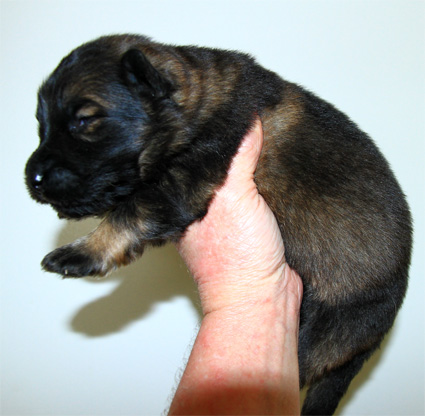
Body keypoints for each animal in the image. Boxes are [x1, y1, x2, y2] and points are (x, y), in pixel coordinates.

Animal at [25, 34, 412, 415]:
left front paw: (82, 252)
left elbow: (129, 212)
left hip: (326, 331)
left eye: (84, 121)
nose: (33, 179)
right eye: (41, 125)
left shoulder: (188, 175)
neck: (197, 105)